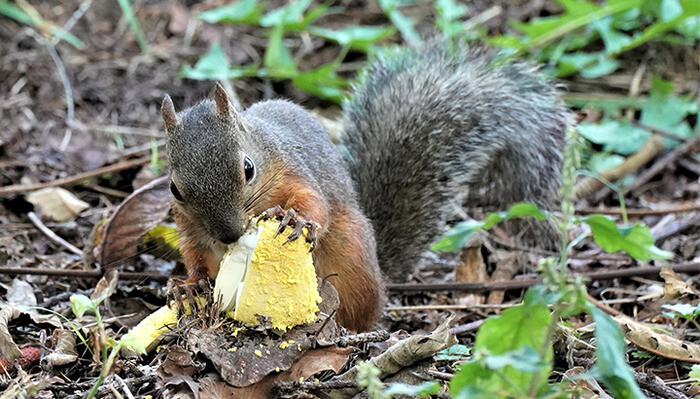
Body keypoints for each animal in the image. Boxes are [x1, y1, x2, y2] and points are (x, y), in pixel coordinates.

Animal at [161, 42, 572, 332]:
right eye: (175, 189)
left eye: (248, 169)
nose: (230, 236)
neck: (262, 145)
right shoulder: (189, 226)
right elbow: (195, 253)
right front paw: (189, 285)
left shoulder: (294, 172)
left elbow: (314, 203)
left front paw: (295, 218)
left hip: (351, 258)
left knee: (360, 313)